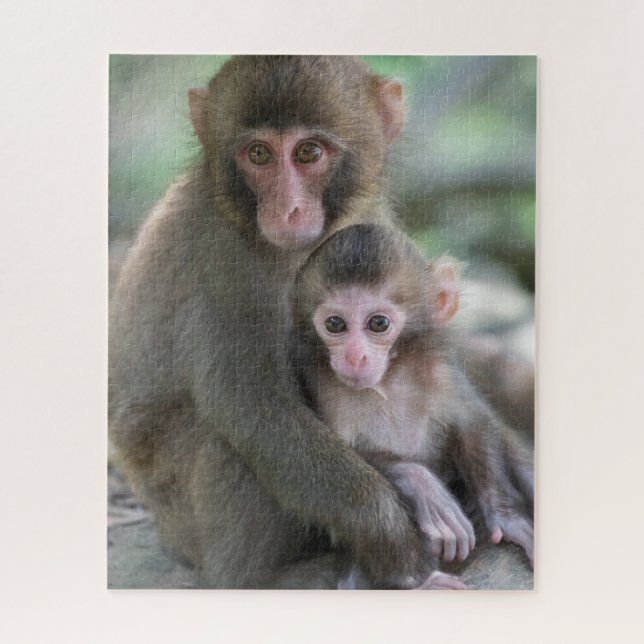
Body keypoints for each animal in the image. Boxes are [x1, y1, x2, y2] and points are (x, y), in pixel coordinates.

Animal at [109, 56, 442, 589]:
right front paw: (393, 539)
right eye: (259, 154)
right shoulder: (226, 259)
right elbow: (253, 406)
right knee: (232, 444)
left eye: (308, 152)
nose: (287, 208)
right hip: (180, 510)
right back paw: (262, 577)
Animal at [291, 224, 534, 588]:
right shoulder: (322, 383)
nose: (354, 357)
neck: (387, 381)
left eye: (378, 323)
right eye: (335, 324)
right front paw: (423, 487)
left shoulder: (439, 368)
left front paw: (506, 518)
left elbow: (472, 423)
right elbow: (331, 456)